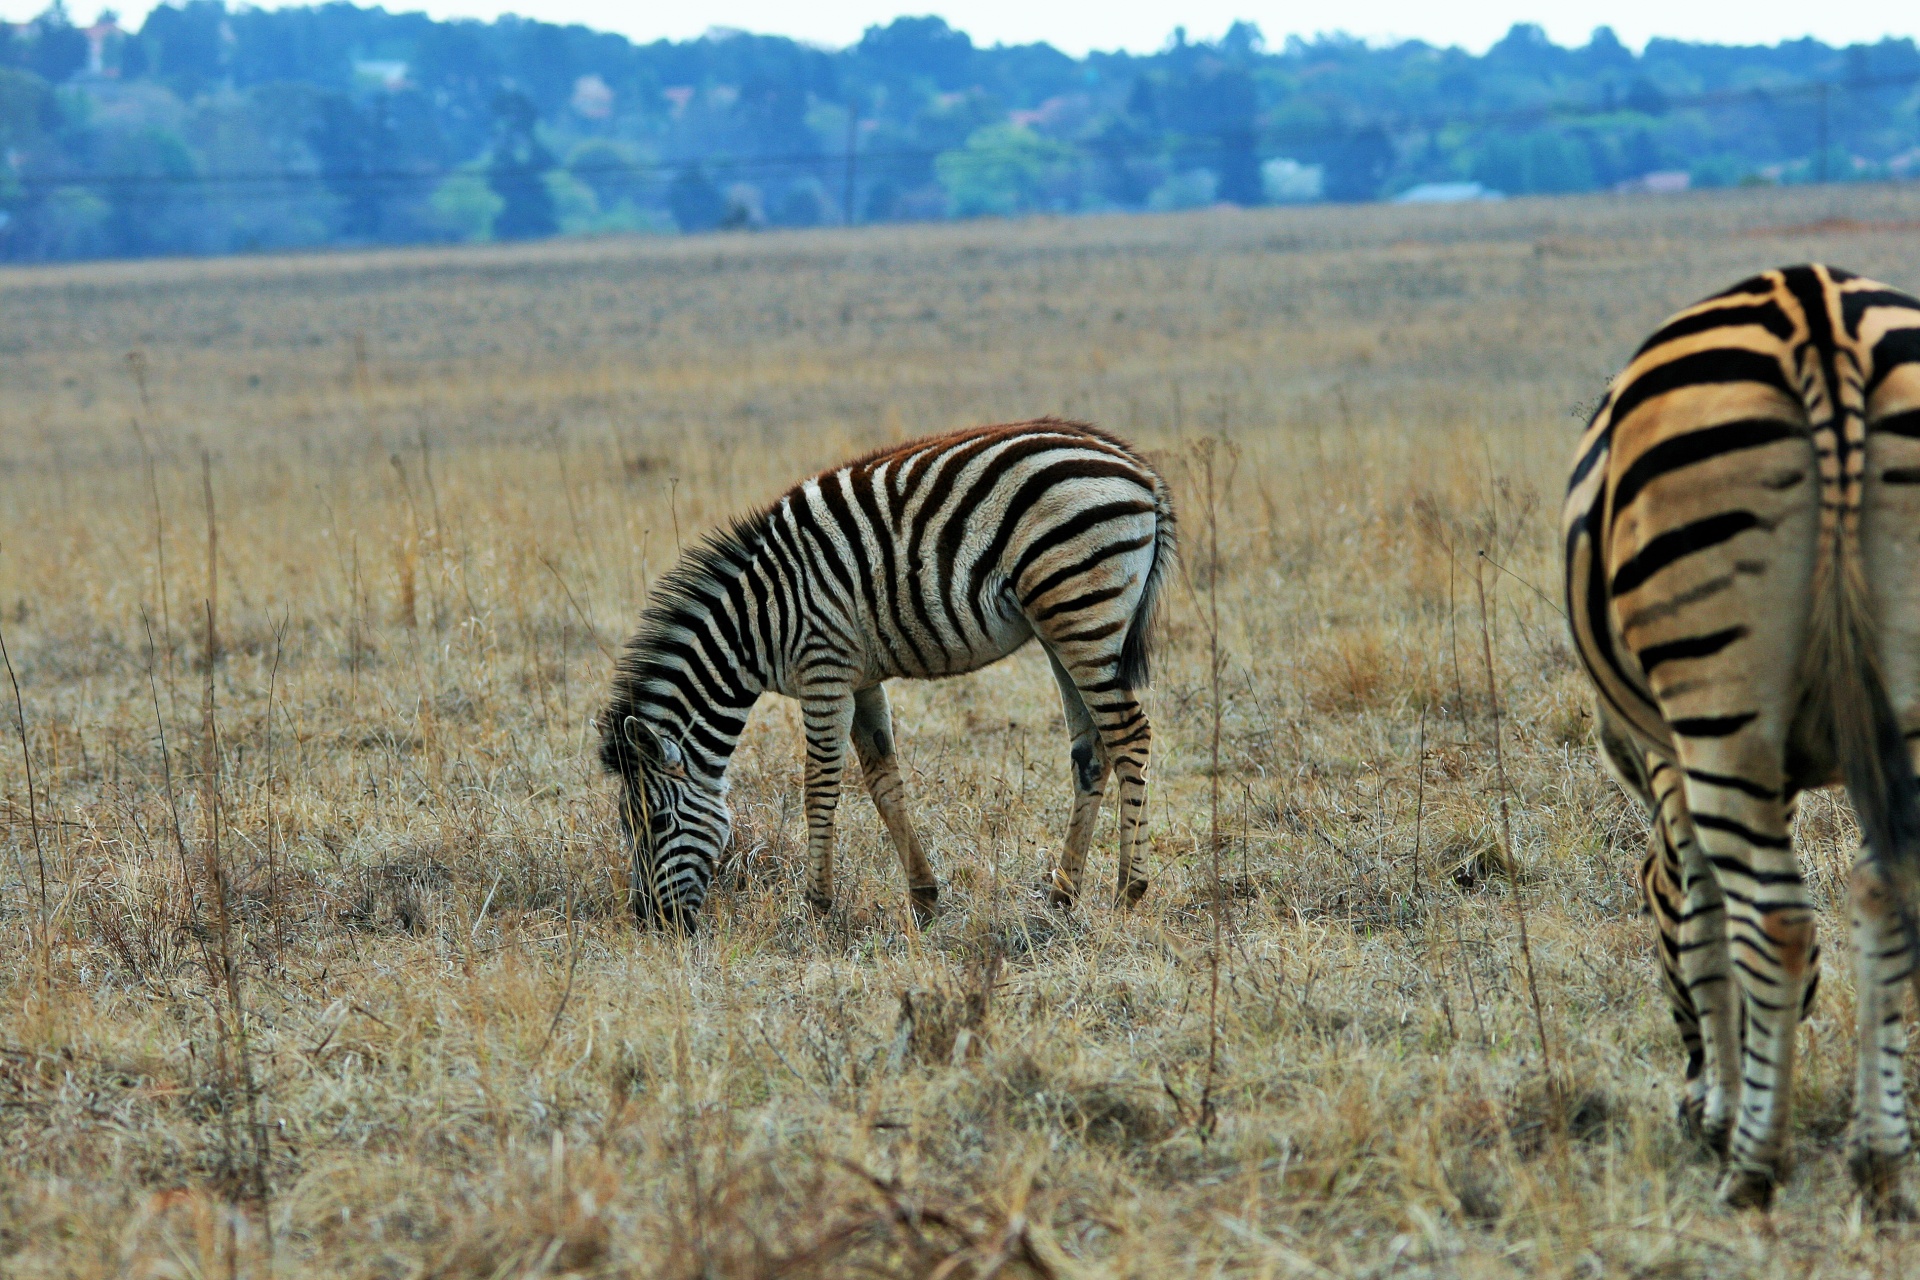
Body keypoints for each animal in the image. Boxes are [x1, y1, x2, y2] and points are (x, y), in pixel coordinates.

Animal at [599, 420, 1175, 932]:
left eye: (656, 823)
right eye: (630, 827)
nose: (652, 924)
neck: (757, 623)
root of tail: (1140, 470)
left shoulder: (823, 668)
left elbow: (819, 784)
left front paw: (817, 908)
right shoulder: (859, 677)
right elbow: (883, 781)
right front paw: (923, 898)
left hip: (1081, 608)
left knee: (1130, 734)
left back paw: (1128, 892)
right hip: (1063, 624)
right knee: (1092, 749)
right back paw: (1062, 894)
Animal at [1559, 262, 1920, 1212]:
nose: (1685, 1103)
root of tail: (1814, 304)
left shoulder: (1675, 763)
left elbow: (1705, 920)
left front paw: (1723, 1113)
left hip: (1717, 706)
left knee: (1781, 921)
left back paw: (1755, 1169)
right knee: (1888, 890)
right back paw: (1881, 1162)